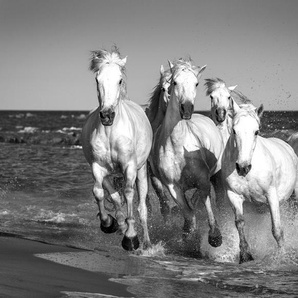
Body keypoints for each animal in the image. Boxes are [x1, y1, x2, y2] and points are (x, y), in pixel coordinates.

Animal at [81, 47, 152, 251]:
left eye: (119, 80)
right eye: (97, 79)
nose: (107, 115)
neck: (110, 132)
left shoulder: (130, 167)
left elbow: (128, 194)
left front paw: (131, 238)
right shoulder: (97, 167)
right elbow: (99, 193)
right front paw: (108, 223)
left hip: (141, 171)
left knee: (141, 207)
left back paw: (146, 243)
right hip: (107, 173)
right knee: (114, 197)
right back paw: (119, 225)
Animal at [150, 57, 225, 247]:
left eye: (196, 83)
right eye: (175, 82)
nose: (187, 109)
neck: (178, 147)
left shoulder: (203, 180)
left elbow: (206, 205)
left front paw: (215, 237)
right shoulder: (173, 187)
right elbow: (189, 213)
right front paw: (188, 235)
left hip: (217, 176)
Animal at [221, 100, 298, 264]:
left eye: (256, 131)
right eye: (234, 130)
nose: (243, 167)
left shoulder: (271, 196)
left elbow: (277, 230)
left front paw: (281, 257)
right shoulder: (233, 195)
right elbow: (240, 223)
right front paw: (245, 256)